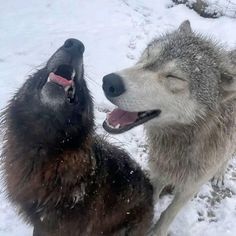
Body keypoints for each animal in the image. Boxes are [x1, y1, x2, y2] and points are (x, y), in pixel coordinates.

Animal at [102, 21, 235, 235]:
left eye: (174, 77)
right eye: (148, 54)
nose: (109, 82)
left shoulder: (191, 186)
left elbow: (169, 213)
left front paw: (156, 230)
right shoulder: (158, 168)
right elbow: (152, 193)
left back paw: (220, 173)